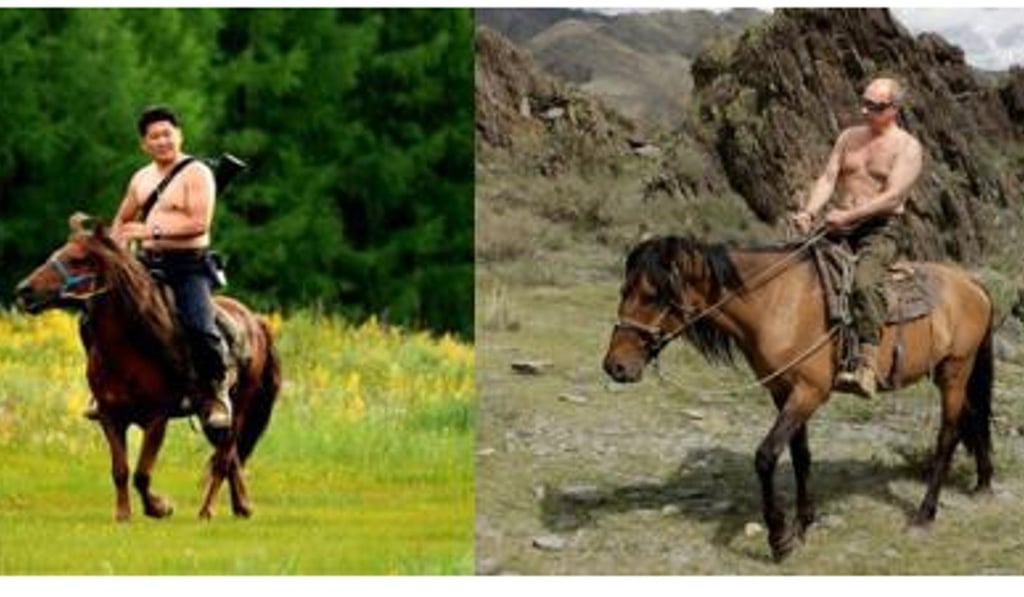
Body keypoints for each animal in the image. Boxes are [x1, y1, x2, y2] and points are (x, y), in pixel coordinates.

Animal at [14, 214, 281, 521]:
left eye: (77, 260)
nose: (24, 290)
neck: (129, 348)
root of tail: (255, 322)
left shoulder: (157, 418)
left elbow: (142, 473)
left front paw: (159, 507)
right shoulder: (110, 416)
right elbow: (120, 470)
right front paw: (123, 515)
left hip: (237, 408)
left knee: (224, 459)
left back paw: (207, 511)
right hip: (212, 417)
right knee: (232, 456)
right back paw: (242, 507)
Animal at [602, 235, 994, 562]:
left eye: (652, 295)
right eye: (623, 290)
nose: (615, 366)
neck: (775, 305)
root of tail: (971, 283)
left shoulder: (809, 392)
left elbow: (766, 456)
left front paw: (779, 538)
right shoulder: (784, 392)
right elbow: (801, 456)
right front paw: (803, 525)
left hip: (955, 371)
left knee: (948, 436)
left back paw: (924, 514)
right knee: (974, 418)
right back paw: (983, 482)